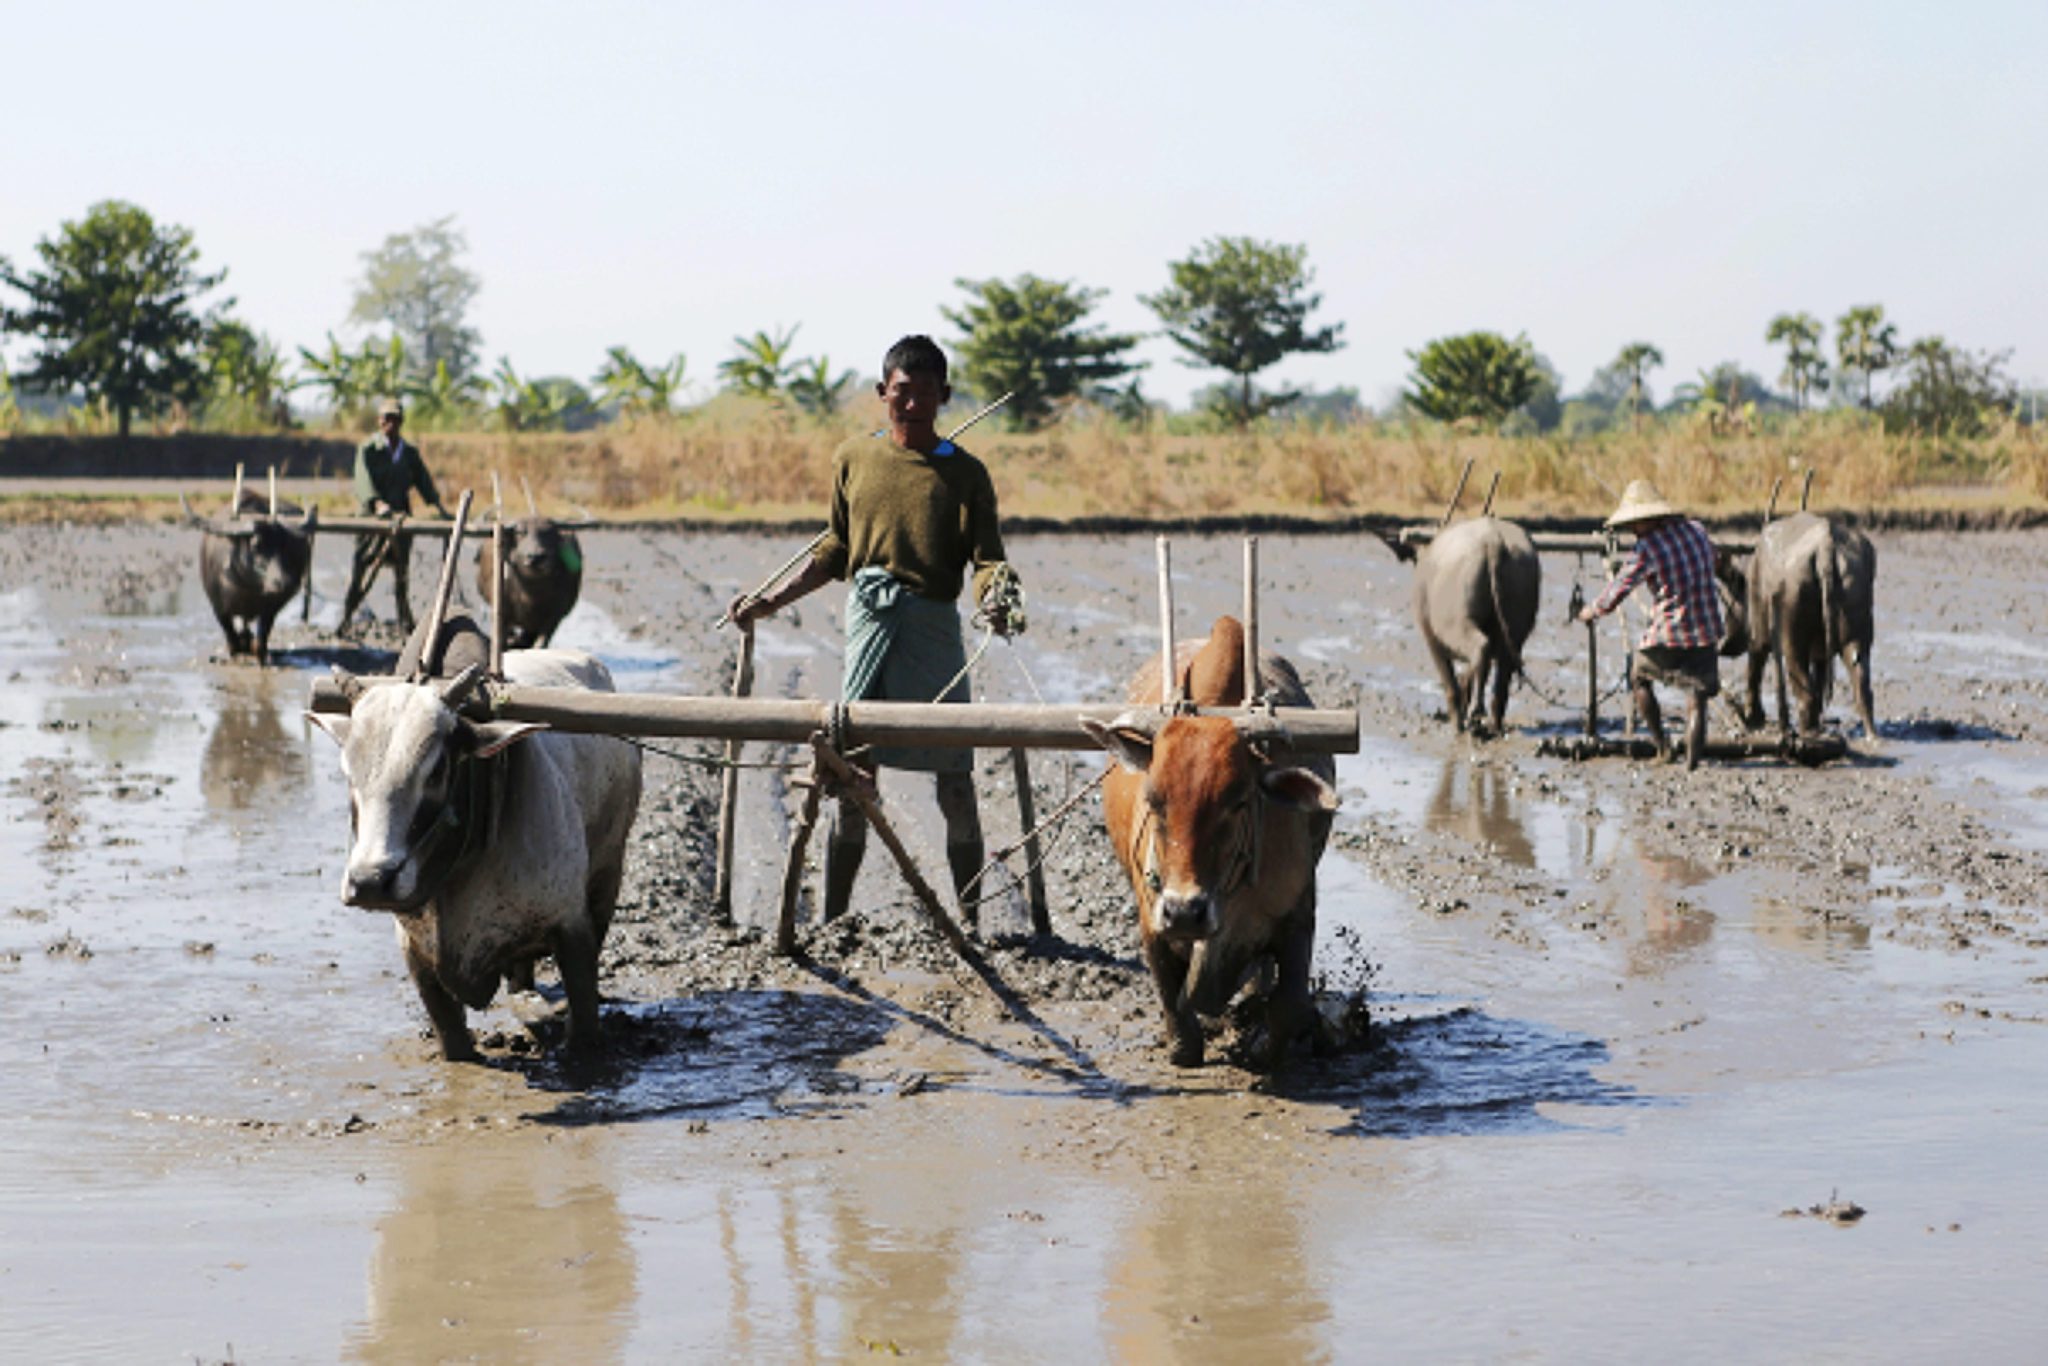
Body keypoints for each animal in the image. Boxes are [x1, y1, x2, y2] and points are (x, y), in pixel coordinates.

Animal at [186, 491, 311, 667]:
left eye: (285, 544)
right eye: (256, 545)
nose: (285, 583)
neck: (247, 588)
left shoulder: (270, 608)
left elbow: (262, 636)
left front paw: (260, 655)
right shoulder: (218, 607)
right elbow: (230, 635)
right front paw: (237, 652)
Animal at [303, 647, 634, 1064]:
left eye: (435, 771)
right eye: (348, 772)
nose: (370, 881)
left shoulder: (571, 924)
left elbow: (585, 1015)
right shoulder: (416, 954)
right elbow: (454, 1040)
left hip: (609, 871)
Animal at [1089, 614, 1343, 1073]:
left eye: (1239, 800)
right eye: (1153, 799)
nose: (1184, 911)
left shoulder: (1298, 917)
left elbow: (1290, 1006)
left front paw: (1261, 1047)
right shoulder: (1152, 924)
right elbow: (1177, 1013)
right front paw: (1186, 1048)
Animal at [1376, 518, 1540, 737]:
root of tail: (1492, 540)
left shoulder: (1432, 640)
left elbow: (1451, 684)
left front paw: (1457, 721)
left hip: (1456, 624)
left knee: (1480, 647)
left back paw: (1474, 712)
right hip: (1516, 624)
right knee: (1501, 678)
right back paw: (1493, 724)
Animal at [1720, 511, 1875, 741]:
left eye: (1726, 599)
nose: (1723, 645)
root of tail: (1825, 546)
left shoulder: (1758, 627)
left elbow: (1755, 665)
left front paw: (1753, 717)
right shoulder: (1820, 651)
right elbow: (1820, 674)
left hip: (1792, 626)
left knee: (1802, 684)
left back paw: (1805, 732)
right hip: (1856, 609)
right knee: (1861, 682)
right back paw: (1871, 736)